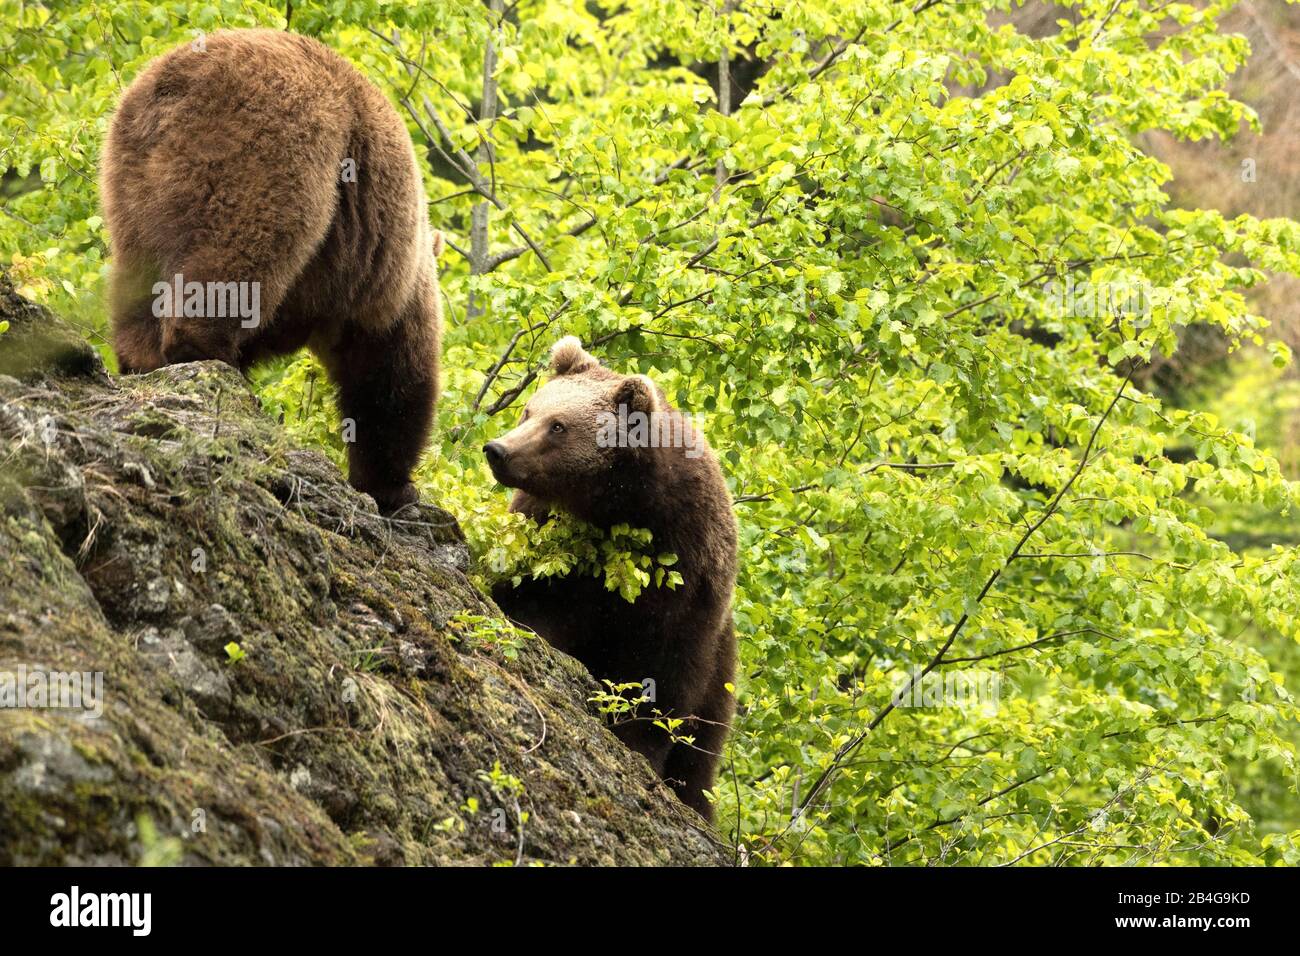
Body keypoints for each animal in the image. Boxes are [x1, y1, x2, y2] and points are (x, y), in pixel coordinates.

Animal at [100, 26, 441, 512]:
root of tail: (172, 84)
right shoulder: (387, 285)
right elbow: (391, 375)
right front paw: (394, 485)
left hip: (129, 175)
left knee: (138, 276)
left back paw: (144, 360)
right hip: (271, 149)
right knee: (238, 254)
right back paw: (211, 359)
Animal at [483, 338, 738, 822]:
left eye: (558, 426)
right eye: (529, 410)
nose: (497, 449)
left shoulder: (686, 574)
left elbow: (662, 677)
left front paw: (639, 744)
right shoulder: (550, 545)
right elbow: (529, 603)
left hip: (722, 680)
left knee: (700, 757)